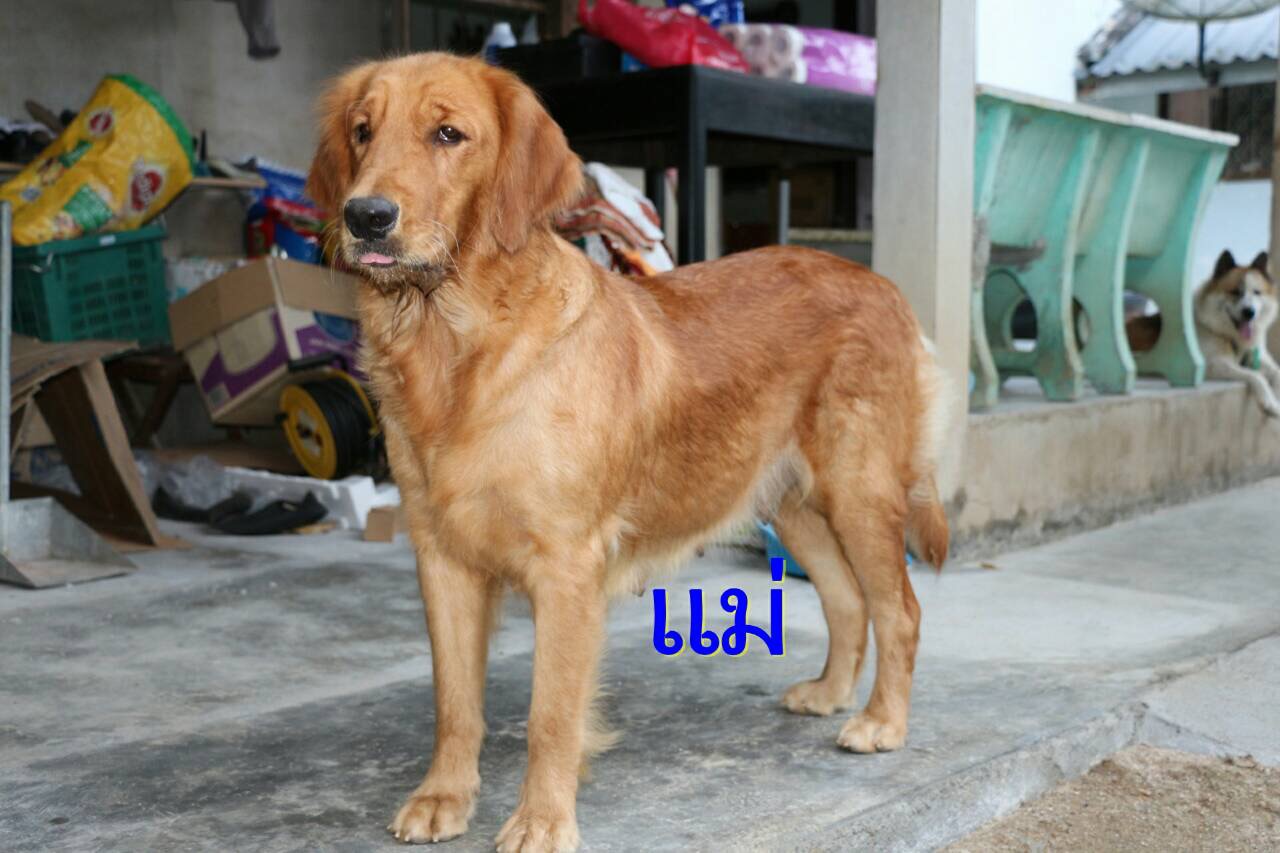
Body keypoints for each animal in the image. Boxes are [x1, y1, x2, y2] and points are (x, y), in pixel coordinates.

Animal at [307, 53, 951, 853]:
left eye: (448, 134)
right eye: (362, 132)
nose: (365, 216)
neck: (455, 345)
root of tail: (883, 284)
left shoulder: (566, 566)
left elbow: (550, 715)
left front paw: (542, 818)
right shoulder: (440, 556)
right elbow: (454, 702)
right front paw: (443, 796)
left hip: (859, 490)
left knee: (900, 610)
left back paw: (881, 721)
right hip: (791, 501)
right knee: (845, 598)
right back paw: (831, 693)